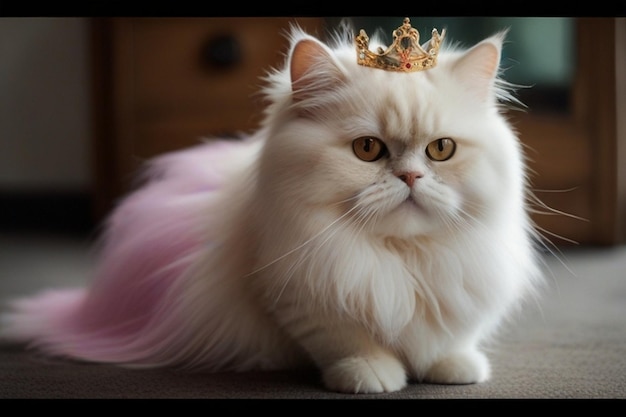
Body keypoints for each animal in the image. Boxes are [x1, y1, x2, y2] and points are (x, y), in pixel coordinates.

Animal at [1, 17, 540, 392]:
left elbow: (450, 336)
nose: (410, 177)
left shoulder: (464, 285)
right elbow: (346, 340)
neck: (400, 257)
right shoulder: (296, 295)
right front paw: (371, 374)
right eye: (368, 149)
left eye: (441, 150)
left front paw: (454, 366)